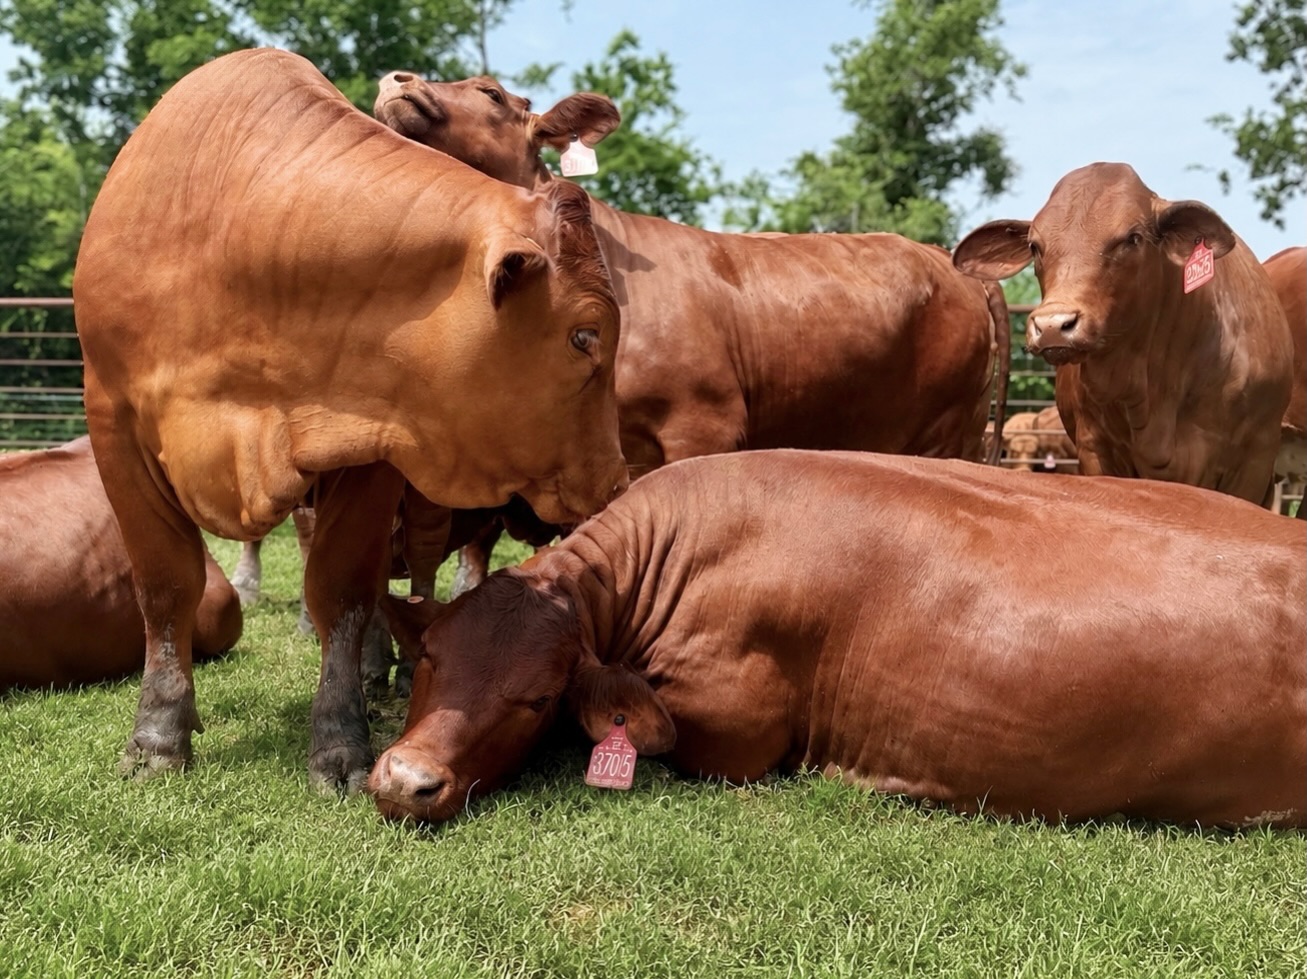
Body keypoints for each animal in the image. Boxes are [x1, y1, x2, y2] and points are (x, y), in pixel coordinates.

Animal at [73, 49, 627, 793]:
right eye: (585, 335)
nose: (617, 476)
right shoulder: (112, 420)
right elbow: (166, 586)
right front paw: (158, 735)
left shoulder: (370, 447)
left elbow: (341, 588)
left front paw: (339, 740)